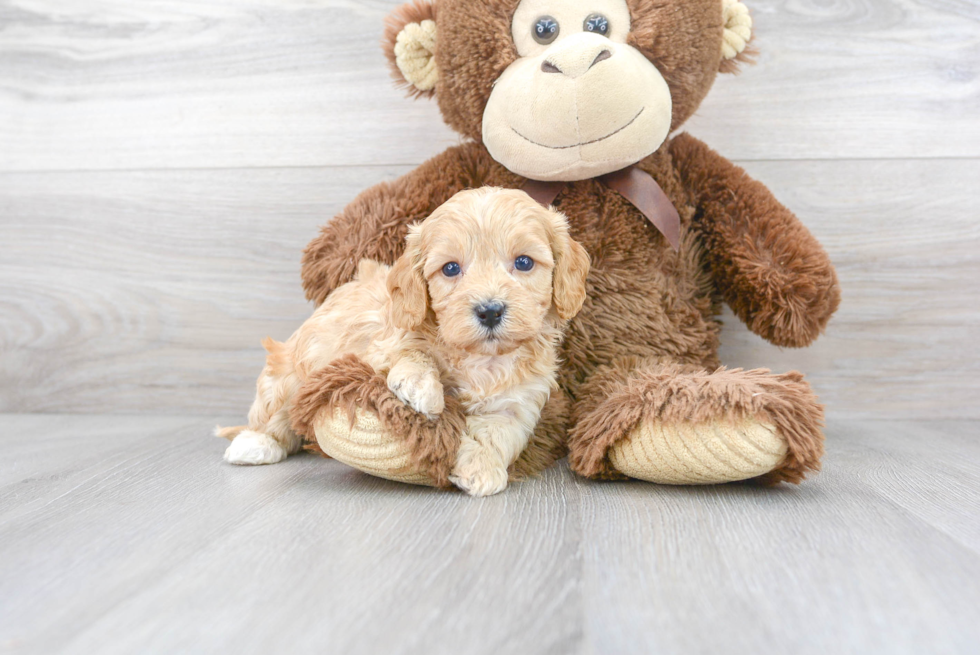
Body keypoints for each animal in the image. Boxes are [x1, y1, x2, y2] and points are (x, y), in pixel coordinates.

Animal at [222, 190, 588, 498]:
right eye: (450, 268)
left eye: (524, 262)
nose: (490, 310)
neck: (481, 358)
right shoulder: (379, 345)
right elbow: (411, 350)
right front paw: (421, 387)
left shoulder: (519, 402)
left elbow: (499, 432)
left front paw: (480, 468)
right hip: (290, 370)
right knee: (274, 412)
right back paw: (254, 443)